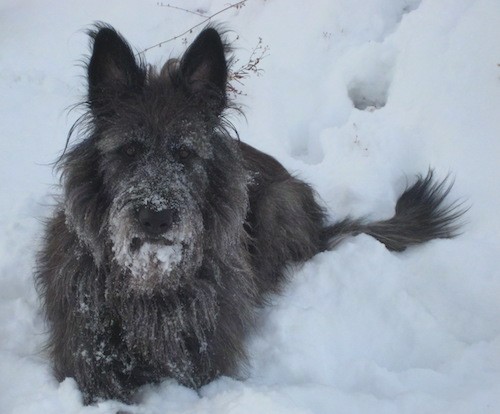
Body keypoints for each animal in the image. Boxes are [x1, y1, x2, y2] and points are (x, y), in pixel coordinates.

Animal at [35, 23, 464, 404]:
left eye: (185, 152)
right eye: (128, 150)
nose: (156, 218)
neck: (153, 282)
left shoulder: (205, 359)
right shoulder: (87, 358)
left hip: (279, 203)